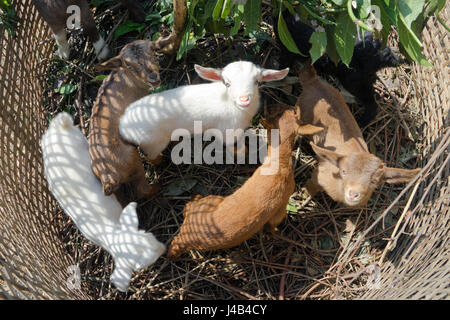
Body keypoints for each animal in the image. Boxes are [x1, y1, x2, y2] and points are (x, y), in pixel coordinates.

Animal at [40, 113, 165, 292]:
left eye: (147, 235)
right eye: (142, 264)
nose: (163, 248)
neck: (108, 231)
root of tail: (56, 128)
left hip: (80, 141)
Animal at [118, 61, 288, 162]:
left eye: (257, 82)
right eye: (227, 83)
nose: (244, 99)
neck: (231, 104)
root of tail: (123, 125)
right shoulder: (227, 131)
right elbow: (235, 148)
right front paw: (243, 154)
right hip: (153, 142)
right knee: (151, 157)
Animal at [167, 107, 322, 258]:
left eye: (291, 112)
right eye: (284, 112)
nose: (293, 107)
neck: (279, 163)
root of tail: (186, 238)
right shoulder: (281, 206)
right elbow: (274, 223)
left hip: (210, 202)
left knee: (188, 207)